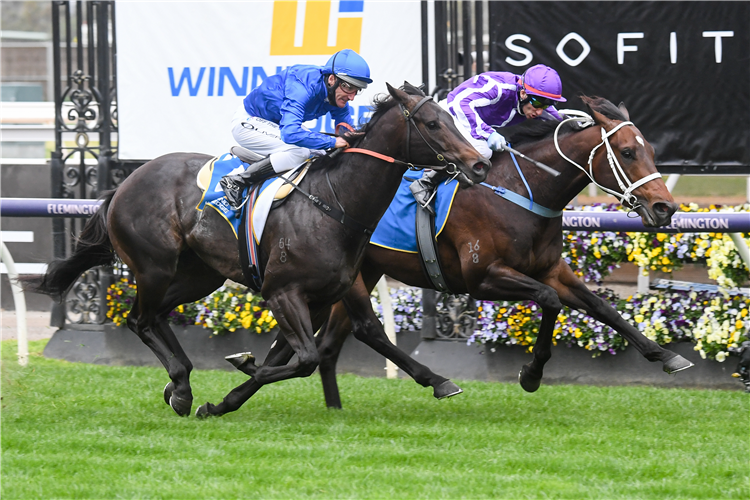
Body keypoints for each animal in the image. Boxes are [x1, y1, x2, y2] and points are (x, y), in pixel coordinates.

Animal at [20, 84, 490, 416]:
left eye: (450, 116)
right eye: (432, 123)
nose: (479, 164)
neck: (335, 202)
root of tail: (122, 185)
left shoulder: (319, 299)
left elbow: (298, 356)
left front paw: (223, 400)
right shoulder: (283, 292)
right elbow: (304, 359)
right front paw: (239, 368)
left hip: (198, 275)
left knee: (154, 317)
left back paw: (180, 383)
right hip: (154, 267)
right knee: (139, 318)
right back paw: (181, 385)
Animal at [308, 95, 696, 408]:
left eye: (652, 152)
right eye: (627, 153)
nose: (665, 207)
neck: (518, 192)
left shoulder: (552, 269)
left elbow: (603, 307)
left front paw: (665, 355)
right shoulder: (483, 279)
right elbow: (549, 300)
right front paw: (532, 374)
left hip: (364, 271)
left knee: (330, 343)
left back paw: (334, 407)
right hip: (352, 276)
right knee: (367, 329)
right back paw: (437, 381)